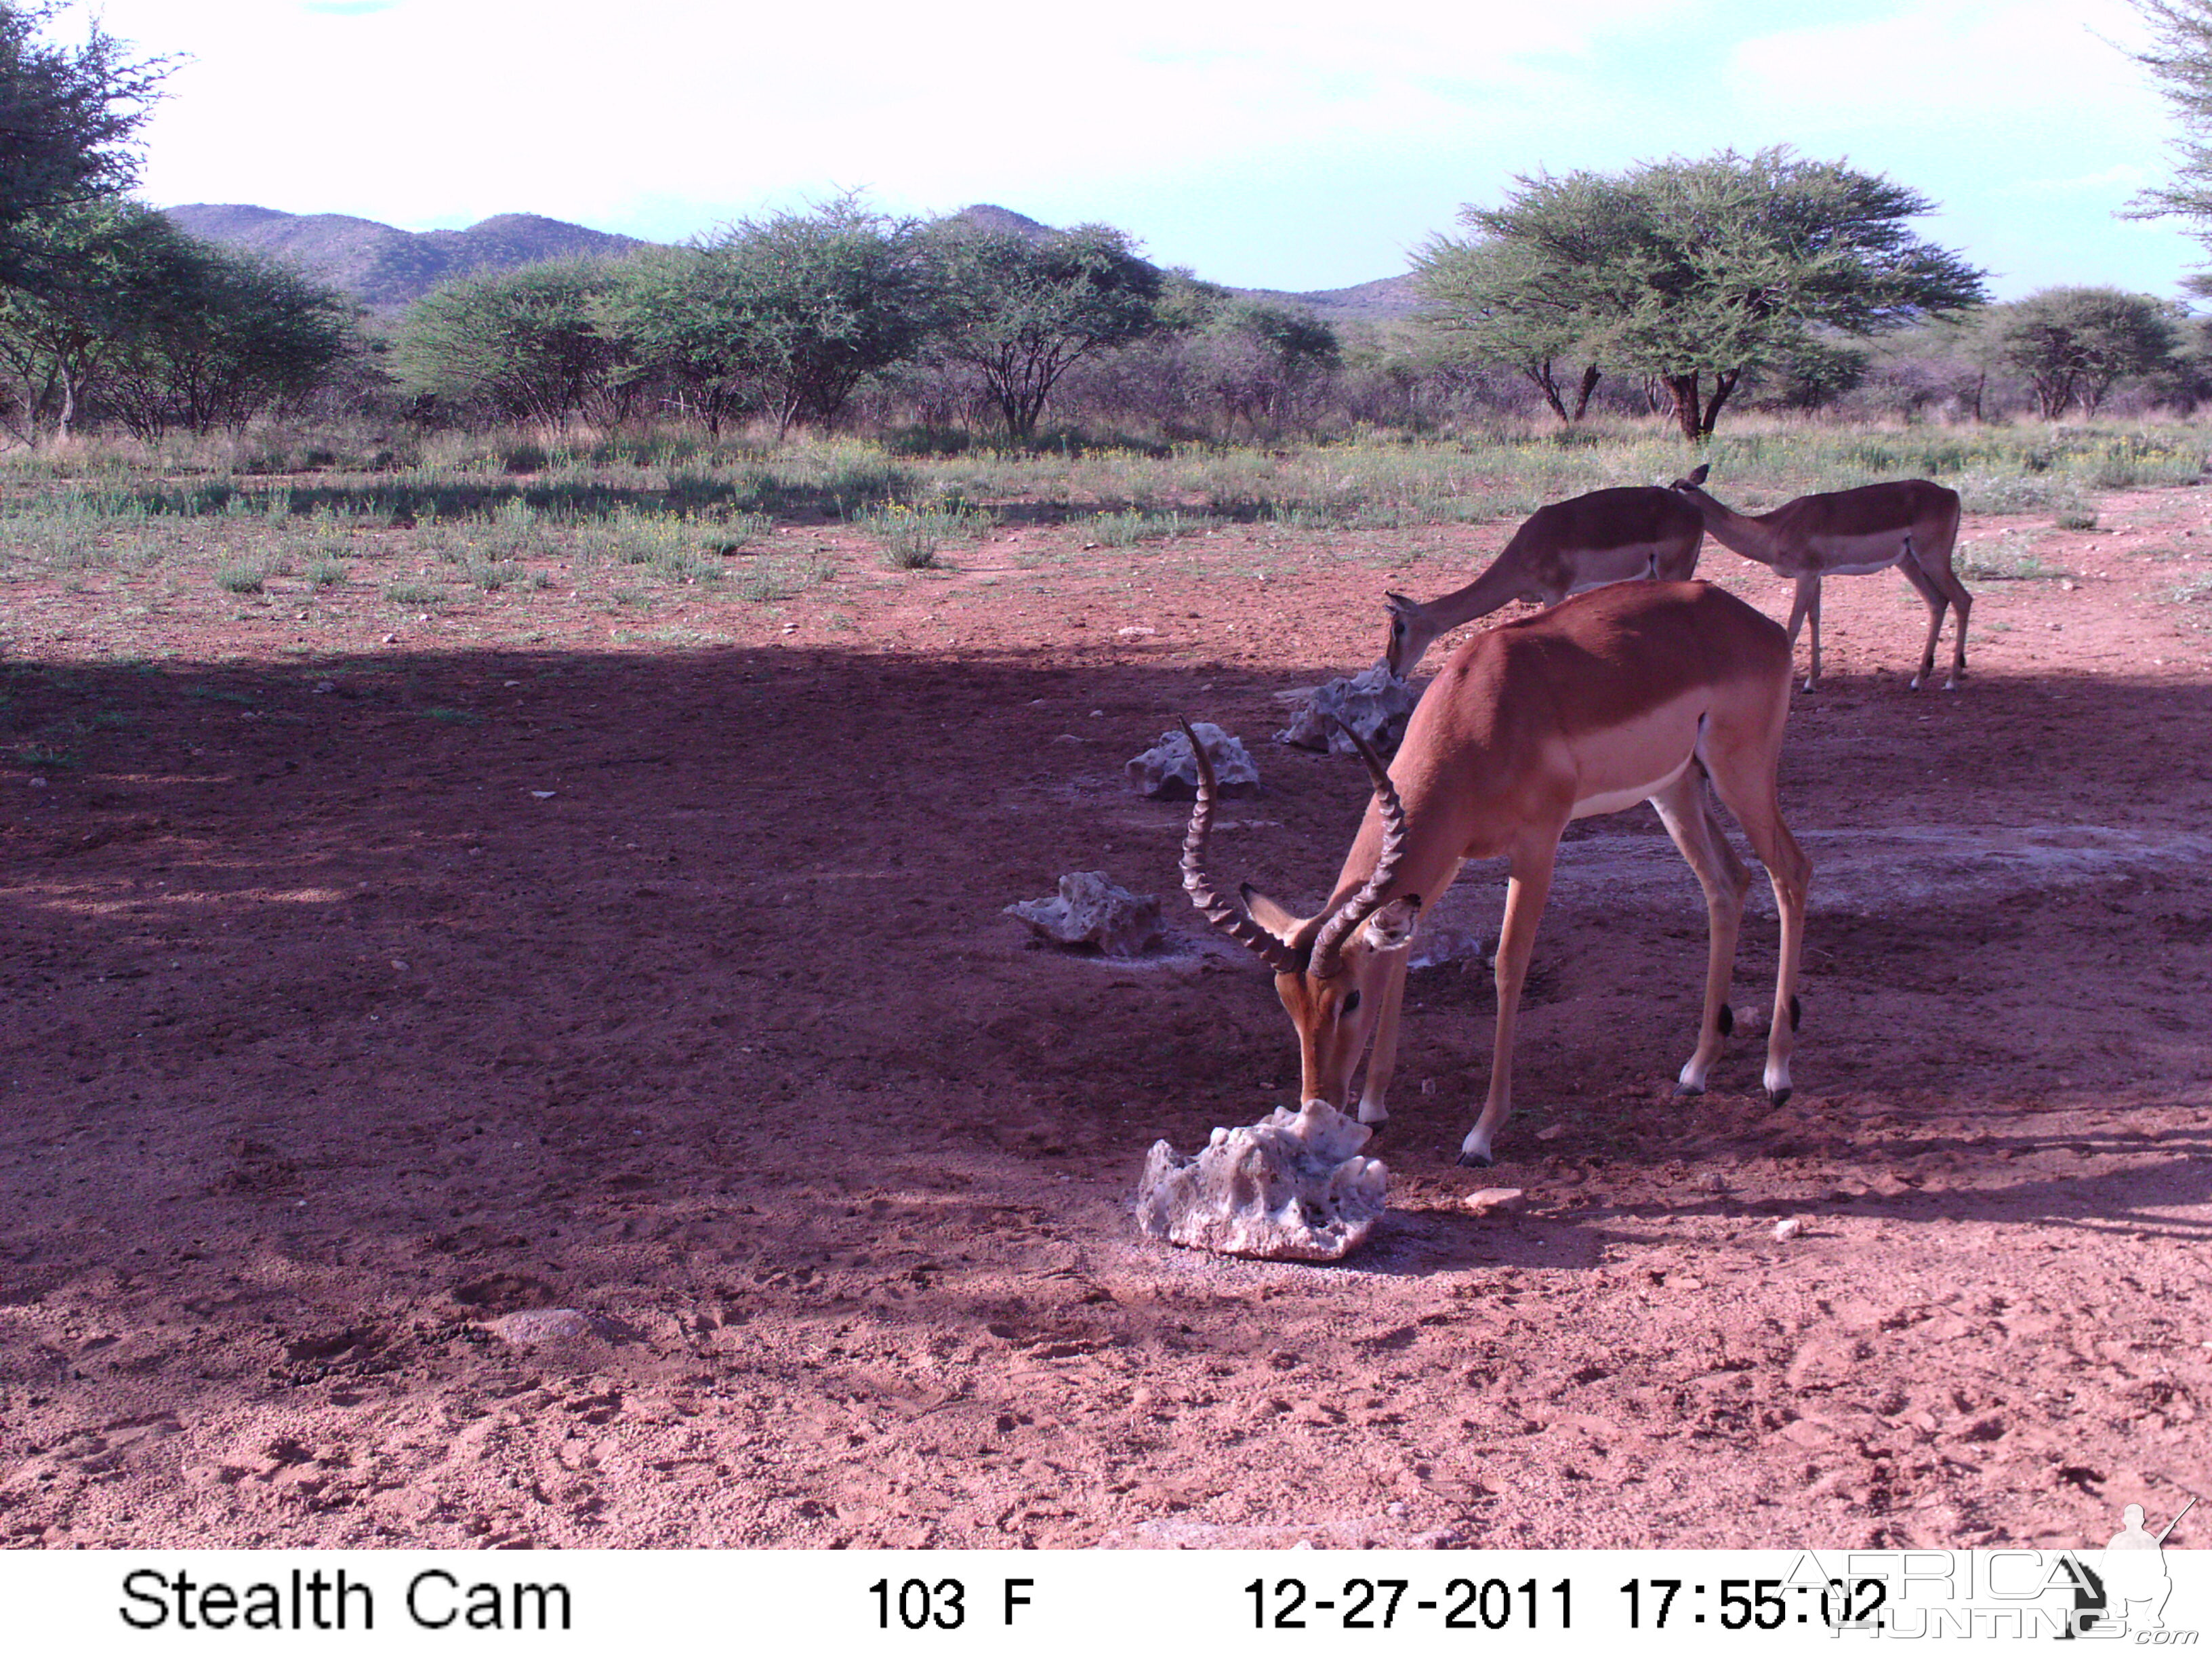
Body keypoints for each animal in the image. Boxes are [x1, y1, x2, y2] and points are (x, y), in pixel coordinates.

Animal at [1185, 583, 1805, 1168]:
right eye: (1287, 1000)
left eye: (1350, 998)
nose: (1318, 1107)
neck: (1481, 711)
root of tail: (1762, 627)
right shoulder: (1445, 859)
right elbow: (1402, 958)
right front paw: (1375, 1108)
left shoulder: (1537, 844)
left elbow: (1508, 967)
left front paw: (1480, 1137)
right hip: (1675, 788)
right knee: (1727, 884)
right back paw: (1695, 1072)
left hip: (1740, 774)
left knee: (1791, 872)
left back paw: (1777, 1076)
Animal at [1380, 491, 1707, 676]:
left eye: (1399, 627)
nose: (1394, 670)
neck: (1526, 548)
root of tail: (1694, 510)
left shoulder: (1555, 593)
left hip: (1673, 572)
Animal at [1672, 468, 1973, 694]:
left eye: (1679, 488)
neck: (1774, 529)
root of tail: (1951, 494)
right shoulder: (1816, 575)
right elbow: (1814, 617)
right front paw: (1811, 682)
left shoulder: (1806, 574)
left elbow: (1793, 622)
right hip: (1909, 562)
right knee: (1938, 602)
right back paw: (1919, 679)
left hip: (1933, 559)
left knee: (1962, 599)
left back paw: (1951, 680)